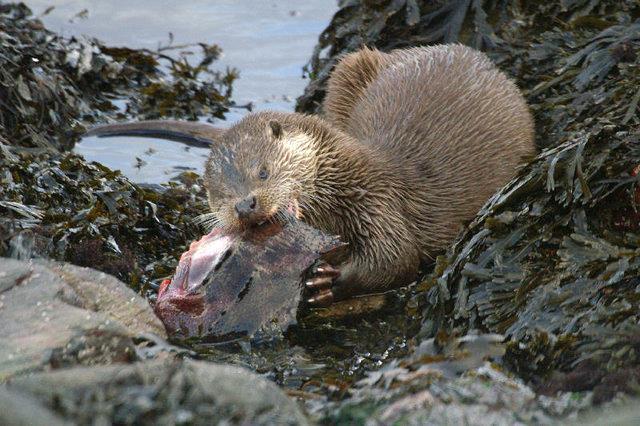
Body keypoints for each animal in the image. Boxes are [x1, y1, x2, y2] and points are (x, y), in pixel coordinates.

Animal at [85, 44, 536, 306]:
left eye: (262, 171)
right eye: (217, 194)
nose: (245, 205)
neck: (344, 185)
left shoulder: (379, 201)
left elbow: (396, 257)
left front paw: (329, 281)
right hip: (350, 67)